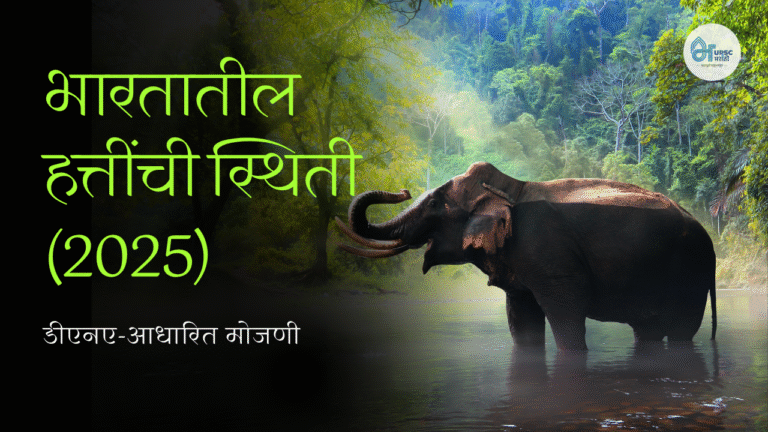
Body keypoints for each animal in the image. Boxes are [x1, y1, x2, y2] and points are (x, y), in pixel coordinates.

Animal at [336, 162, 717, 351]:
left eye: (433, 204)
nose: (403, 190)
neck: (511, 188)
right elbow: (521, 317)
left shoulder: (551, 256)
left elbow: (566, 312)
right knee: (647, 330)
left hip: (690, 271)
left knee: (682, 331)